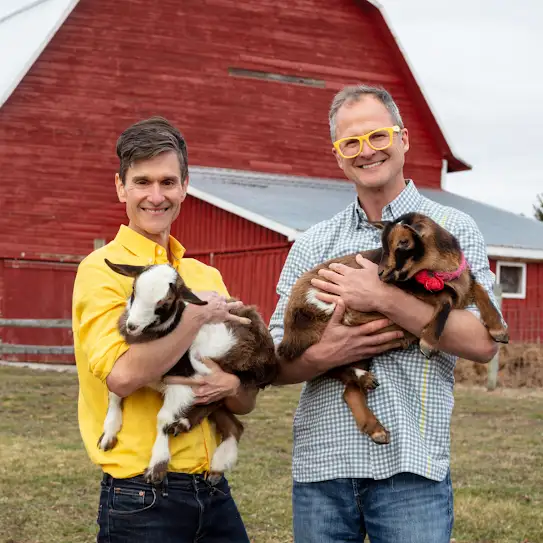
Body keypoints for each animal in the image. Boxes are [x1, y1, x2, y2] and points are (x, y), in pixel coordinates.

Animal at [98, 260, 278, 484]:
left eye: (165, 302)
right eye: (134, 289)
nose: (132, 326)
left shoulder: (184, 381)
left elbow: (163, 418)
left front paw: (157, 467)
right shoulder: (131, 374)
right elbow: (115, 393)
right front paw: (108, 435)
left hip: (242, 375)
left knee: (216, 403)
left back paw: (187, 427)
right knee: (233, 423)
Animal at [280, 212, 510, 446]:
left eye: (403, 243)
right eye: (382, 245)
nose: (380, 273)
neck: (441, 269)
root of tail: (291, 325)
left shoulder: (462, 282)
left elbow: (479, 289)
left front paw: (498, 329)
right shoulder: (413, 287)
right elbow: (446, 297)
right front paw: (428, 343)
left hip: (358, 350)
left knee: (347, 389)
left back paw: (376, 428)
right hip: (326, 315)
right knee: (325, 362)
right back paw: (364, 373)